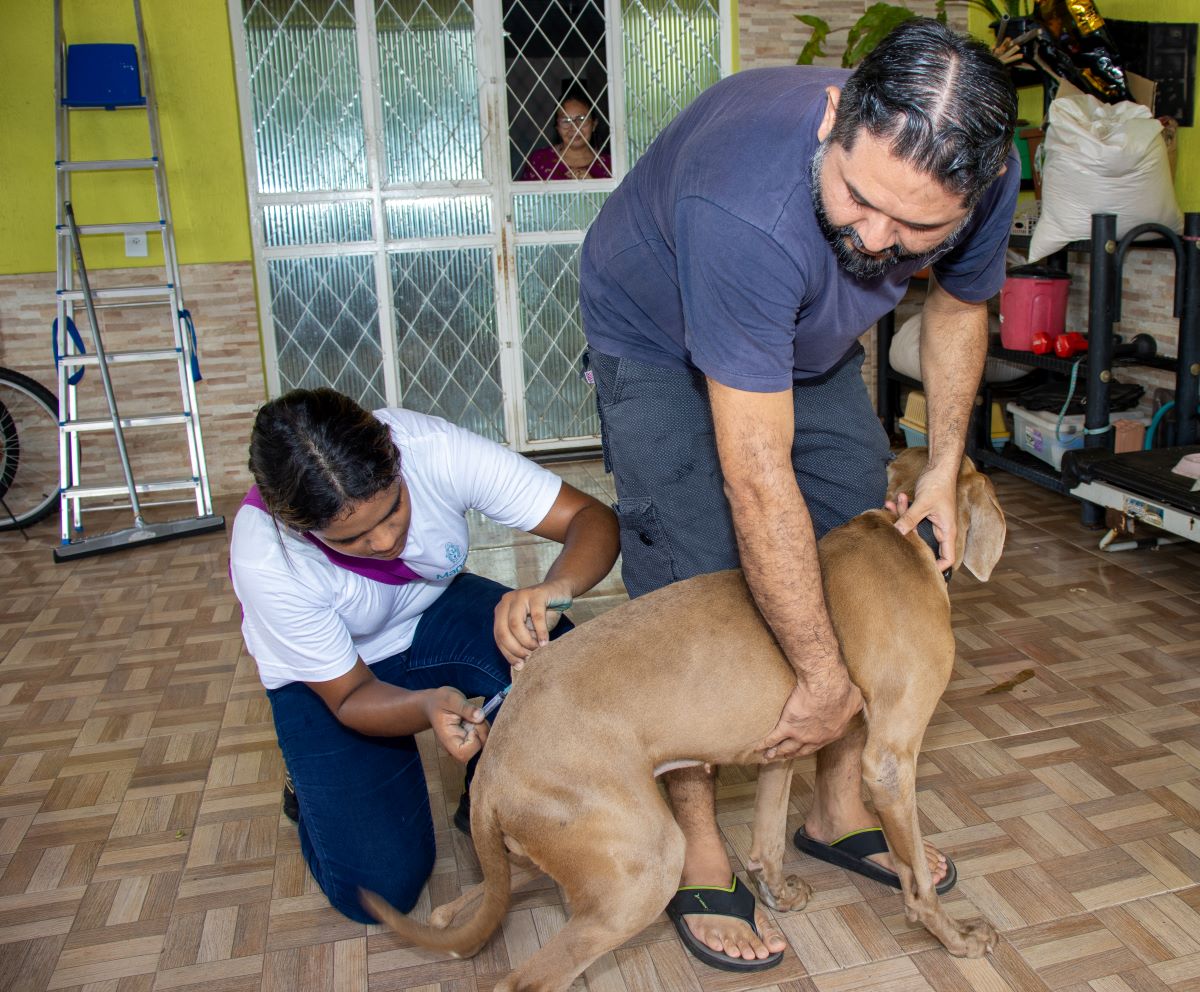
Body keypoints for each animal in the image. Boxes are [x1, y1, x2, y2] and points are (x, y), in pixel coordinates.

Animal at [362, 451, 1003, 992]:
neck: (900, 534)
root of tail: (493, 763)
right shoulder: (889, 759)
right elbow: (917, 878)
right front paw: (957, 937)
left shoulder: (790, 742)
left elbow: (768, 839)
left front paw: (778, 891)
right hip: (644, 865)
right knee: (524, 979)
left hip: (566, 854)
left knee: (473, 900)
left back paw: (452, 917)